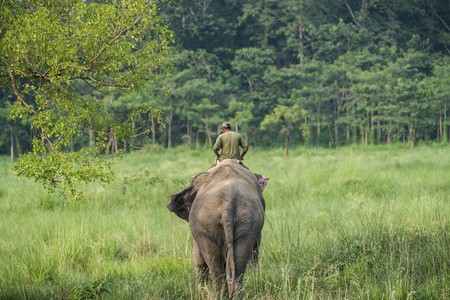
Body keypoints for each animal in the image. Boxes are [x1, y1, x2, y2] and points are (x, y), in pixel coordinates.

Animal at [168, 159, 268, 298]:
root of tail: (228, 204)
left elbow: (198, 259)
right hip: (246, 223)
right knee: (237, 269)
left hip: (207, 226)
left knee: (215, 268)